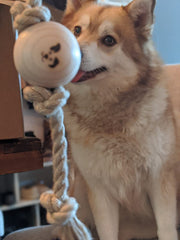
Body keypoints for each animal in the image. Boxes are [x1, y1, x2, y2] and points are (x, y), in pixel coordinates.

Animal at [60, 0, 180, 239]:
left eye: (108, 40)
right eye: (77, 30)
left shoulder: (160, 180)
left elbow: (166, 228)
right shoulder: (99, 189)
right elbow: (107, 231)